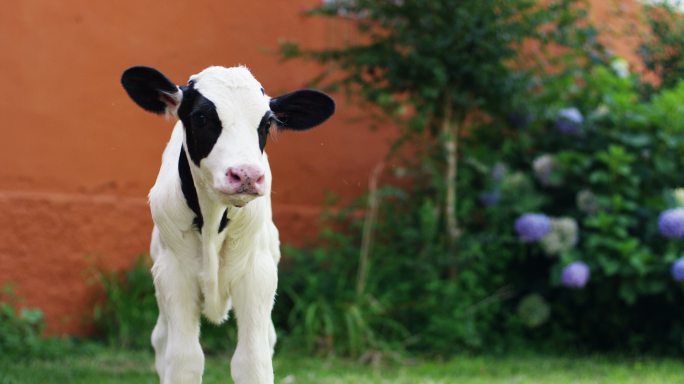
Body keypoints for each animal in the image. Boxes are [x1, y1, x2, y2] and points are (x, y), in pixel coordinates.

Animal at [123, 64, 336, 382]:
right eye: (201, 117)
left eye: (267, 123)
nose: (246, 174)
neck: (212, 221)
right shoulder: (173, 273)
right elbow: (184, 360)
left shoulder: (257, 274)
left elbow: (252, 361)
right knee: (161, 341)